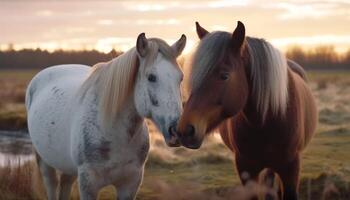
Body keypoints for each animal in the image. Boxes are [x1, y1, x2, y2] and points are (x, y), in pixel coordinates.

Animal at [25, 33, 186, 199]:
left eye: (181, 78)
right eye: (151, 77)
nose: (178, 130)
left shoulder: (130, 184)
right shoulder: (88, 185)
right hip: (45, 162)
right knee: (51, 184)